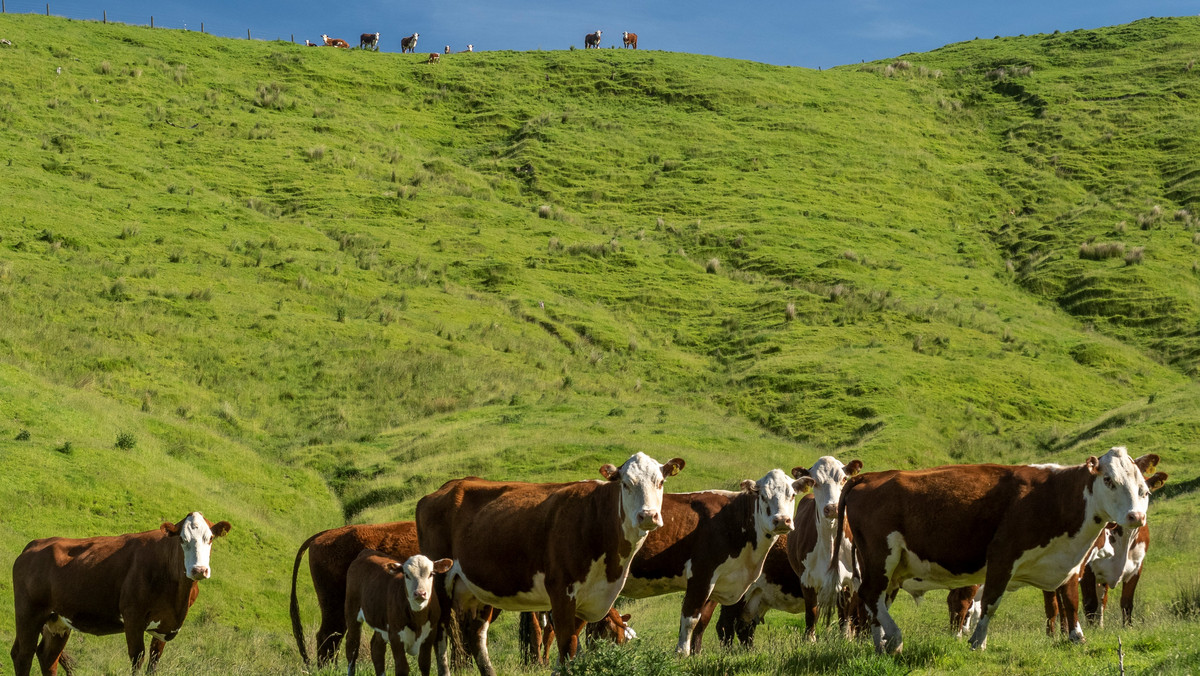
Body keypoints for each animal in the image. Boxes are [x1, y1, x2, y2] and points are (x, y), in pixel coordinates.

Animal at [11, 513, 231, 676]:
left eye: (210, 538)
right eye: (183, 539)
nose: (199, 570)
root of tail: (35, 543)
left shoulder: (164, 626)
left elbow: (154, 663)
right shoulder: (133, 618)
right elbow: (137, 659)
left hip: (58, 621)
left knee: (48, 657)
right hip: (29, 612)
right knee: (23, 654)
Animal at [619, 468, 806, 653]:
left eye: (792, 495)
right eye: (763, 496)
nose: (782, 520)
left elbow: (702, 621)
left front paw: (696, 655)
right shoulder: (701, 575)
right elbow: (690, 619)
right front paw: (682, 654)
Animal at [835, 446, 1161, 653]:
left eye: (1143, 487)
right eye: (1109, 480)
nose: (1136, 516)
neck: (1058, 496)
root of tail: (872, 476)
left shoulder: (1071, 563)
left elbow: (1070, 601)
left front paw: (1077, 638)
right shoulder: (1003, 554)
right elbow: (990, 602)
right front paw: (977, 642)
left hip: (887, 565)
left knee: (875, 601)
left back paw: (880, 644)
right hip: (880, 556)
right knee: (870, 595)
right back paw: (895, 638)